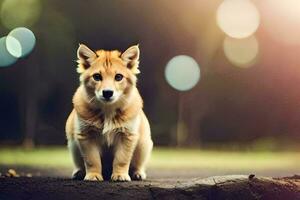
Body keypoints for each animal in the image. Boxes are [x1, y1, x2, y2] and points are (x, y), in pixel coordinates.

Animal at [66, 44, 154, 182]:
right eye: (97, 76)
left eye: (118, 77)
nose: (107, 93)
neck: (107, 110)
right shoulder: (86, 135)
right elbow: (92, 159)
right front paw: (93, 175)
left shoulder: (127, 135)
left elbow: (122, 159)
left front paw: (120, 175)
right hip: (73, 145)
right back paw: (79, 172)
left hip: (143, 144)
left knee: (137, 164)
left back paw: (137, 173)